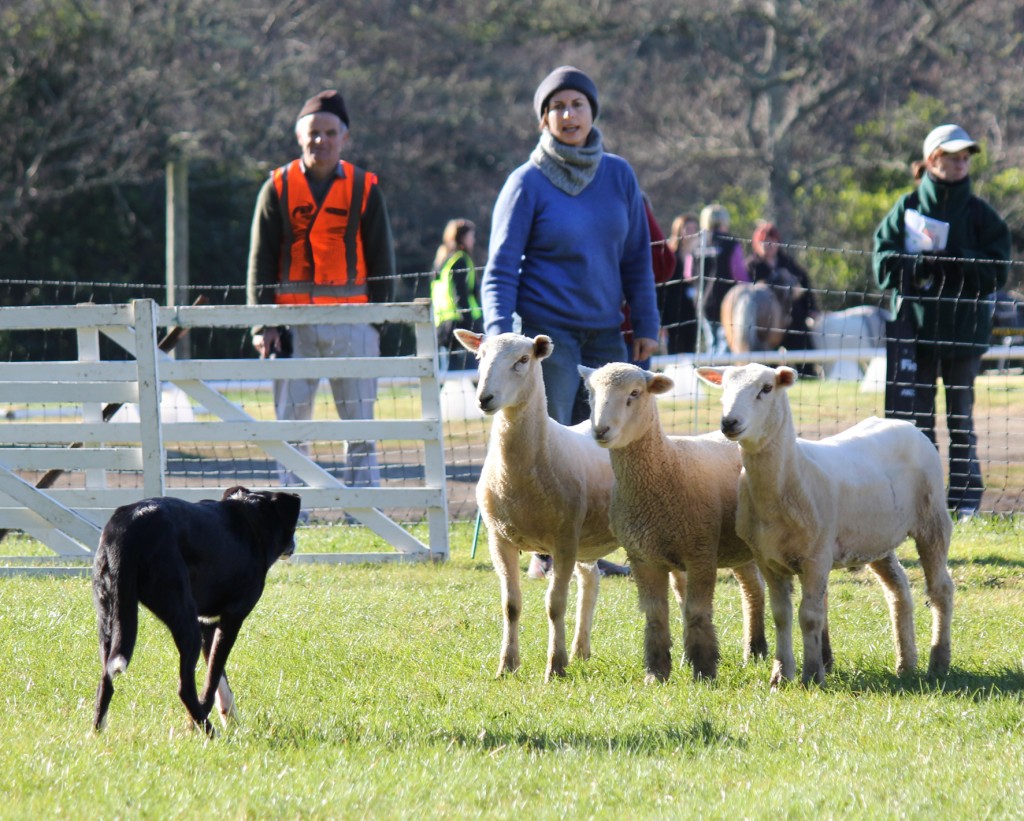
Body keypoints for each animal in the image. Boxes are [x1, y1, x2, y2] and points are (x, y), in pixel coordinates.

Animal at [454, 327, 622, 679]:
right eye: (480, 356)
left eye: (523, 359)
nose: (484, 398)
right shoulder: (499, 539)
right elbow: (511, 605)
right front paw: (507, 666)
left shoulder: (564, 541)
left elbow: (555, 604)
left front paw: (555, 667)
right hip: (585, 538)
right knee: (591, 581)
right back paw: (581, 650)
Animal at [581, 362, 765, 679]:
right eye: (591, 392)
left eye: (635, 393)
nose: (600, 430)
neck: (666, 465)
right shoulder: (642, 556)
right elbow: (656, 614)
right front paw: (656, 673)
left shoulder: (701, 553)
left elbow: (697, 612)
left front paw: (704, 670)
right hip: (735, 549)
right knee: (752, 590)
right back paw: (753, 651)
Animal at [696, 364, 950, 683]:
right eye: (724, 388)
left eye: (766, 388)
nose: (729, 422)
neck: (790, 477)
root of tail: (906, 424)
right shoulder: (767, 559)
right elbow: (781, 615)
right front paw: (780, 675)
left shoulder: (816, 557)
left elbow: (809, 616)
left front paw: (812, 675)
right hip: (875, 539)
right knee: (899, 589)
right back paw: (906, 663)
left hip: (933, 520)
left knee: (941, 589)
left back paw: (938, 662)